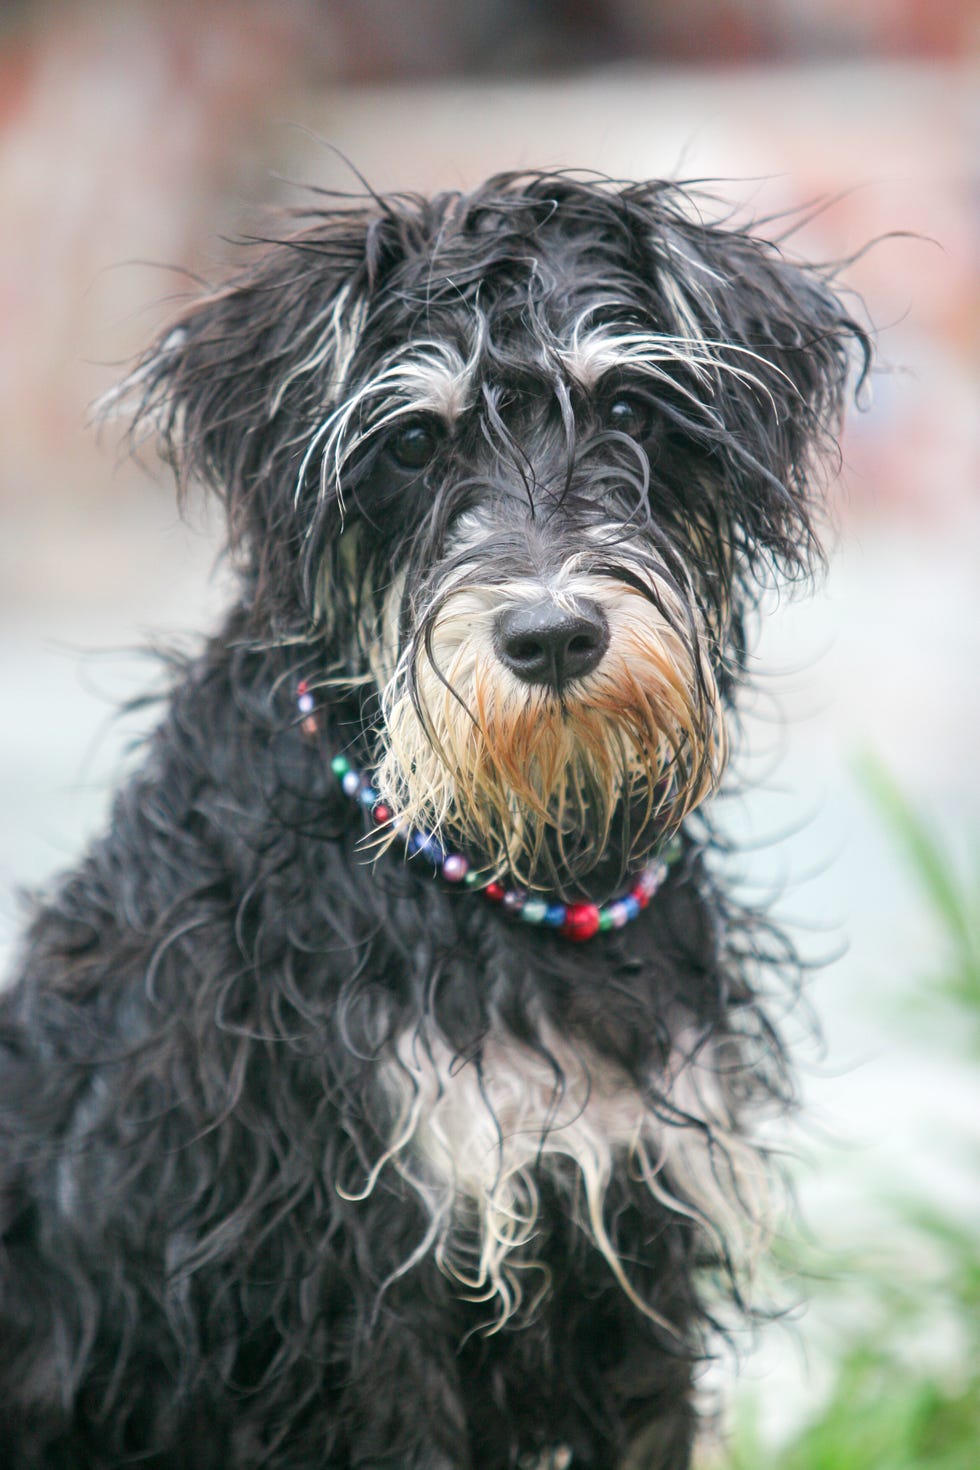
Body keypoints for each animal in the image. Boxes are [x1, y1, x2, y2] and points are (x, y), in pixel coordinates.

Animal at [0, 174, 875, 1470]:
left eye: (628, 407)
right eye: (413, 441)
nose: (552, 635)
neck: (508, 877)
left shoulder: (639, 1255)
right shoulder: (354, 1296)